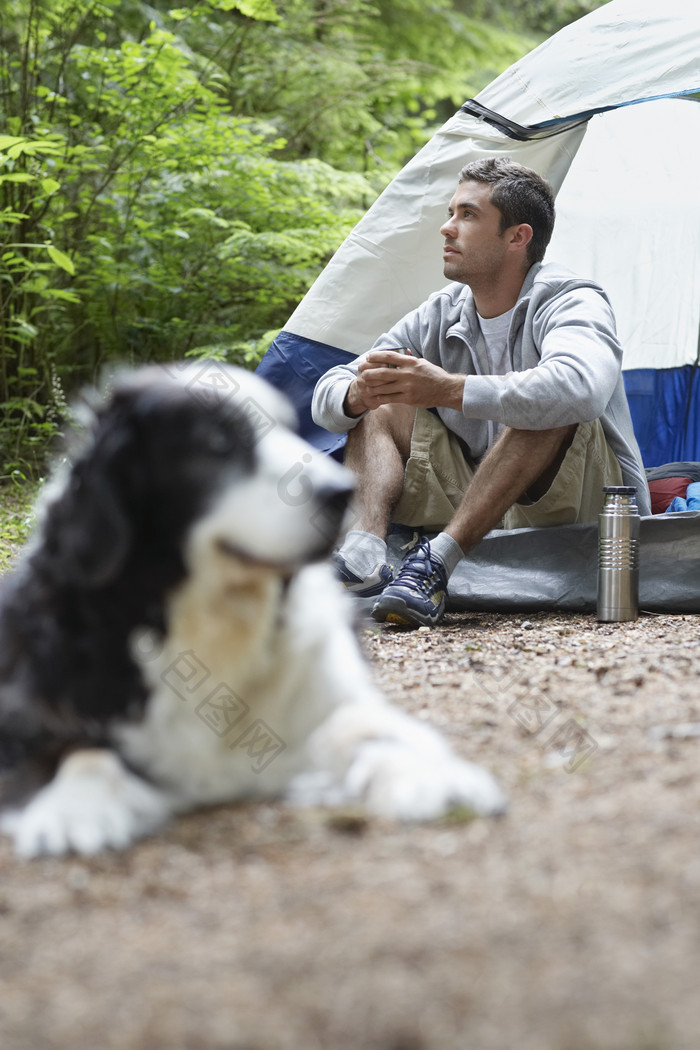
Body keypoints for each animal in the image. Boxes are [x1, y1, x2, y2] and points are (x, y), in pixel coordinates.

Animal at [0, 361, 503, 852]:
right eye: (217, 442)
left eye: (287, 429)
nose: (342, 491)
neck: (219, 616)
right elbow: (80, 749)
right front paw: (75, 807)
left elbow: (361, 725)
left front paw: (430, 775)